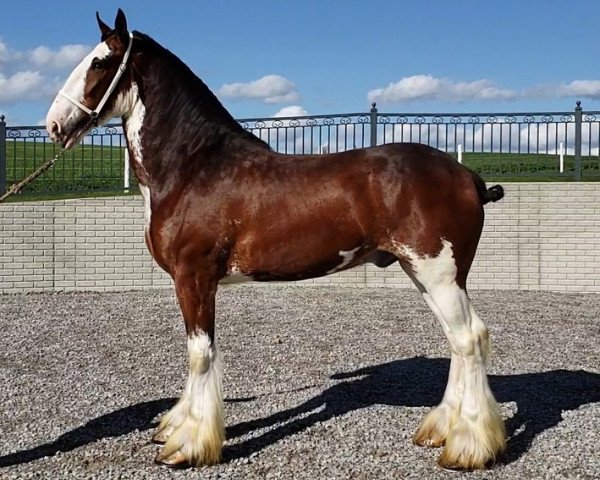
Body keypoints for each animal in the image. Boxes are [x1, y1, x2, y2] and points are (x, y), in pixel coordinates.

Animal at [45, 9, 506, 470]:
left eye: (100, 62)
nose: (53, 125)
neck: (193, 168)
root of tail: (468, 176)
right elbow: (197, 352)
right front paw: (175, 428)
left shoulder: (194, 277)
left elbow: (200, 353)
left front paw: (189, 445)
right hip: (424, 274)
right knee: (459, 342)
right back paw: (441, 430)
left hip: (439, 274)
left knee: (469, 339)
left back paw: (467, 447)